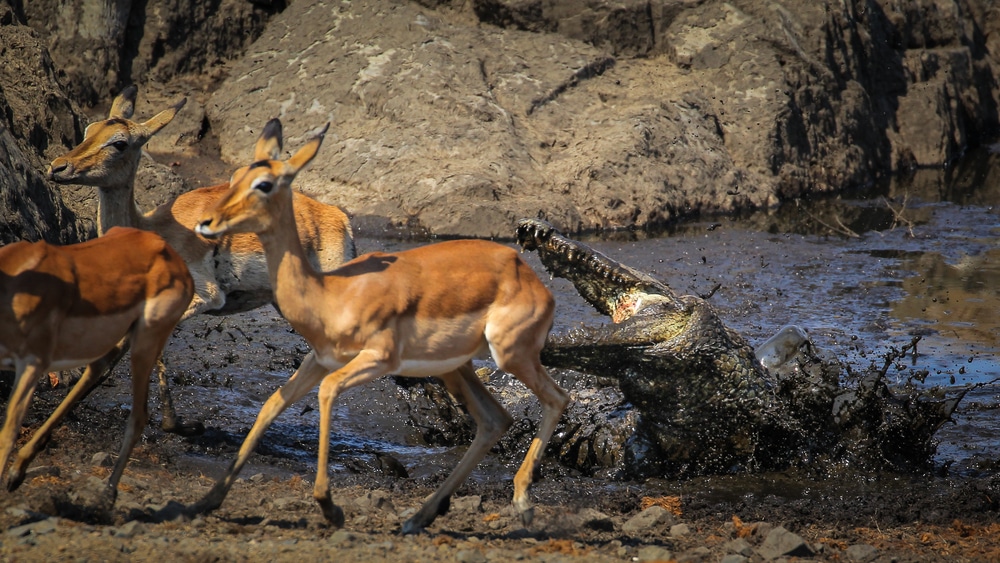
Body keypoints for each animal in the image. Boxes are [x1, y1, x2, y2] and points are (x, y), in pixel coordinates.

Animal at [0, 227, 194, 502]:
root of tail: (171, 254)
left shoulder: (32, 364)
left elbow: (7, 434)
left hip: (145, 343)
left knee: (139, 415)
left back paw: (108, 493)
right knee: (98, 366)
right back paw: (19, 471)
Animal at [46, 86, 356, 434]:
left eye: (119, 142)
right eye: (89, 130)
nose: (58, 167)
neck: (155, 230)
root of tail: (339, 218)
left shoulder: (204, 297)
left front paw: (171, 422)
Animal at [192, 119, 569, 534]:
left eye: (264, 184)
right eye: (236, 176)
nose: (206, 222)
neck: (331, 295)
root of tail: (529, 276)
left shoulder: (377, 359)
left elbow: (327, 392)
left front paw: (330, 507)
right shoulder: (319, 360)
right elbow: (273, 403)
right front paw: (206, 501)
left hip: (511, 355)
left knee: (557, 399)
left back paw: (523, 504)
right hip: (457, 368)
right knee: (494, 420)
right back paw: (418, 517)